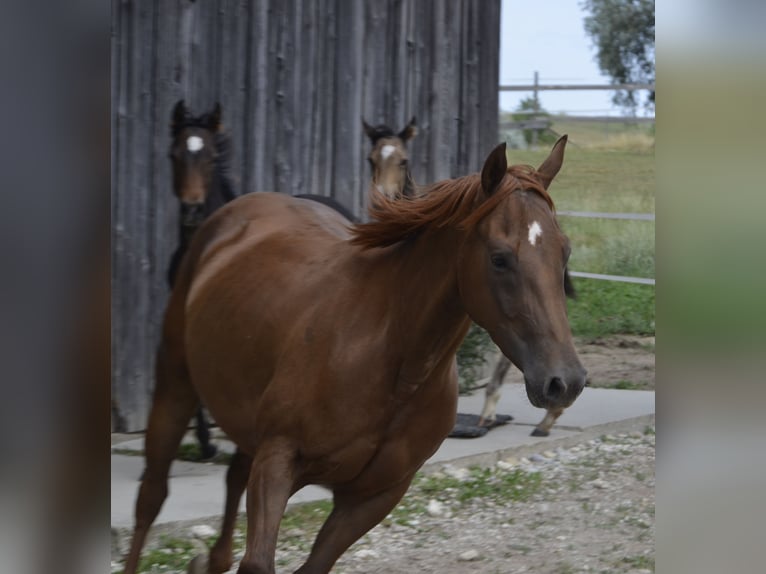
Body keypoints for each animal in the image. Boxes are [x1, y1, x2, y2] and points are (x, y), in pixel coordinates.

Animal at [123, 138, 588, 574]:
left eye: (564, 252)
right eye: (499, 258)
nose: (564, 381)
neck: (391, 363)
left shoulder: (373, 497)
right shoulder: (278, 461)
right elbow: (257, 562)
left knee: (232, 478)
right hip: (175, 387)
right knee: (151, 497)